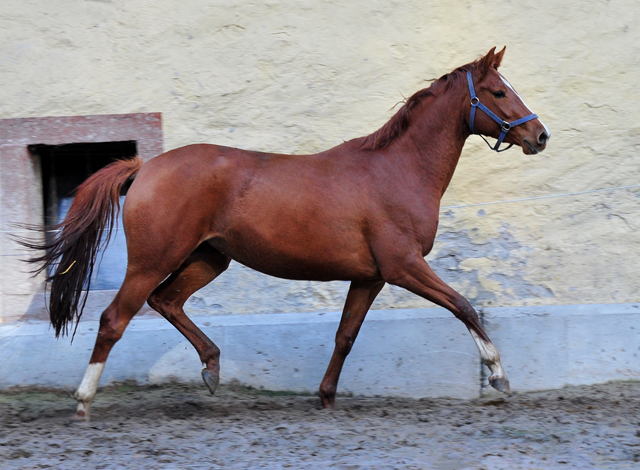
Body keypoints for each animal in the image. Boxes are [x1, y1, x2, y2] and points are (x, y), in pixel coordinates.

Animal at [22, 47, 548, 420]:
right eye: (498, 92)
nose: (539, 136)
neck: (397, 170)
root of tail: (145, 167)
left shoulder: (371, 276)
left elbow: (345, 336)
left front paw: (326, 396)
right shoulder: (403, 266)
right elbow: (463, 305)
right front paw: (498, 376)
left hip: (209, 258)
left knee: (166, 301)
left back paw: (212, 367)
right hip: (153, 260)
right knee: (115, 318)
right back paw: (84, 400)